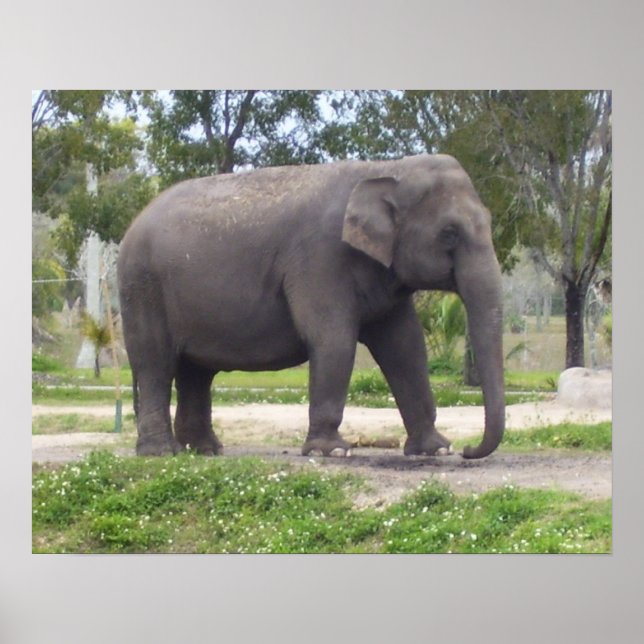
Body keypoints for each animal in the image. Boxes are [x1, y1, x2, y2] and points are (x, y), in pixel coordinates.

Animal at [117, 153, 505, 459]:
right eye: (450, 233)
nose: (468, 450)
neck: (386, 168)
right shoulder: (319, 259)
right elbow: (333, 338)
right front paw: (331, 451)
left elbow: (406, 346)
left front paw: (435, 450)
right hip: (142, 288)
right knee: (155, 362)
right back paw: (161, 452)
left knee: (195, 371)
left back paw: (205, 450)